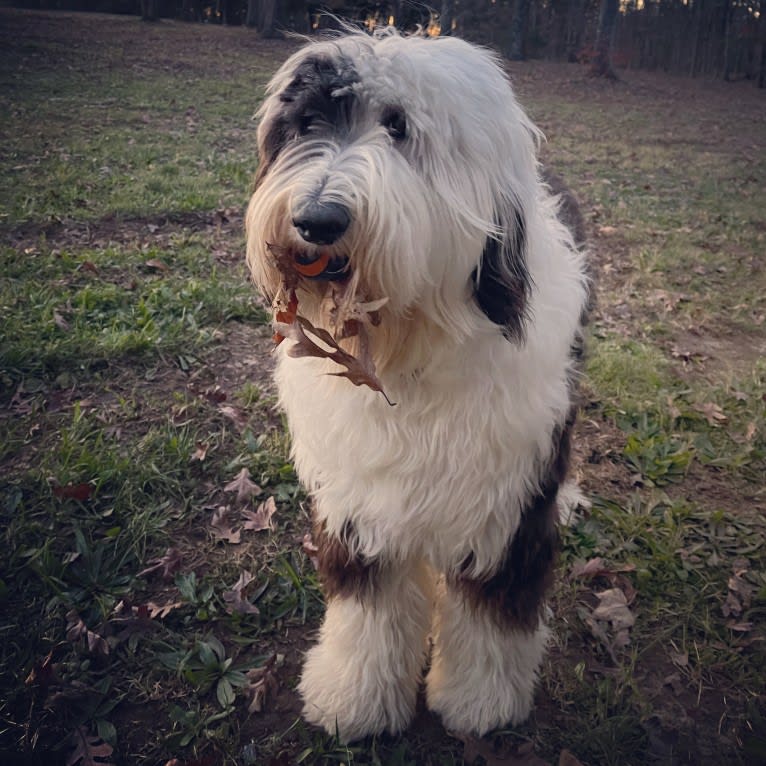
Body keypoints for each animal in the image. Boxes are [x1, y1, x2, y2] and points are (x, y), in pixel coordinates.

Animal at [244, 28, 588, 744]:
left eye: (399, 127)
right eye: (307, 123)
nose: (316, 220)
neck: (404, 353)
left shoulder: (505, 503)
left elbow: (492, 608)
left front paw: (481, 702)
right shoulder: (359, 500)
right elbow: (369, 608)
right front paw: (354, 698)